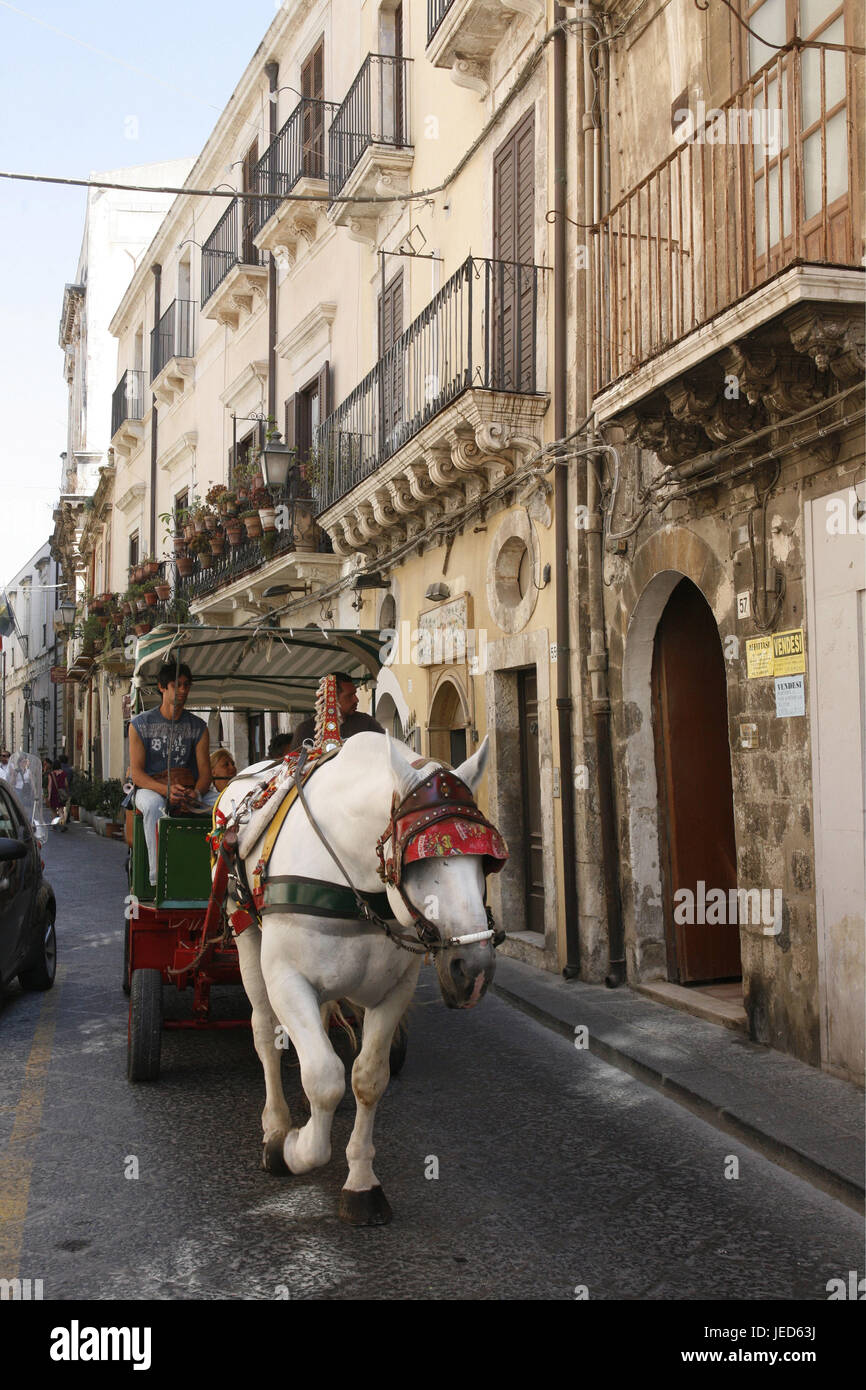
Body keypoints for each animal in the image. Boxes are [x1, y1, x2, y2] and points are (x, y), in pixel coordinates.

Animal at [216, 733, 497, 1223]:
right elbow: (325, 1076)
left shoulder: (394, 992)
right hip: (245, 930)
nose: (474, 971)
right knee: (264, 1032)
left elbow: (368, 1077)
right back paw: (277, 1125)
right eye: (419, 862)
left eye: (485, 861)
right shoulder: (287, 979)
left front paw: (362, 1184)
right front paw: (293, 1148)